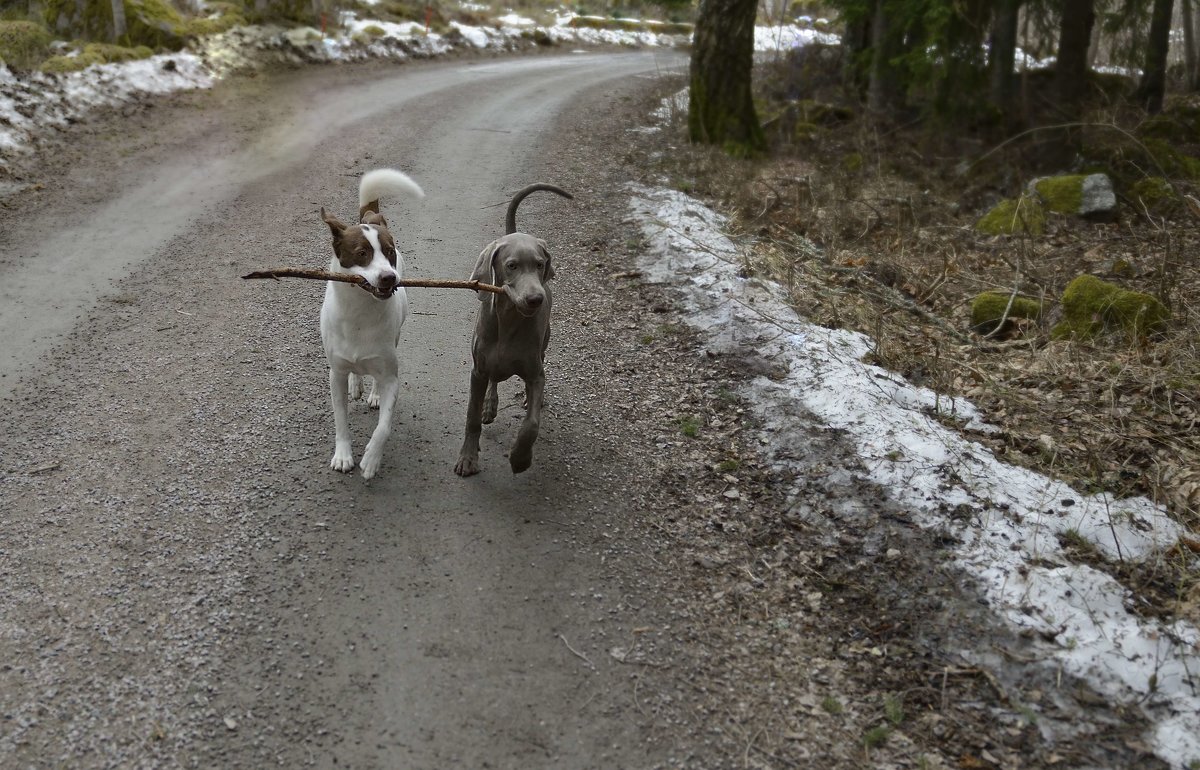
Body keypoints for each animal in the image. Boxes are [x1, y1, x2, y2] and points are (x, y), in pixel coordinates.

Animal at [321, 167, 424, 477]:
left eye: (389, 251)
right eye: (361, 253)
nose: (389, 277)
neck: (360, 312)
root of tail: (368, 217)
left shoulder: (392, 377)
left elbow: (384, 427)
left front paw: (371, 459)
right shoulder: (335, 373)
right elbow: (340, 420)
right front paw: (343, 455)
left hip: (395, 339)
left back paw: (373, 393)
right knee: (356, 372)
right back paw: (356, 384)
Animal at [456, 184, 573, 474]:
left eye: (540, 264)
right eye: (511, 266)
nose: (535, 299)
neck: (509, 321)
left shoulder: (535, 374)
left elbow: (531, 423)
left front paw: (520, 458)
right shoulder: (478, 371)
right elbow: (471, 418)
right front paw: (468, 458)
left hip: (544, 345)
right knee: (493, 381)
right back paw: (489, 406)